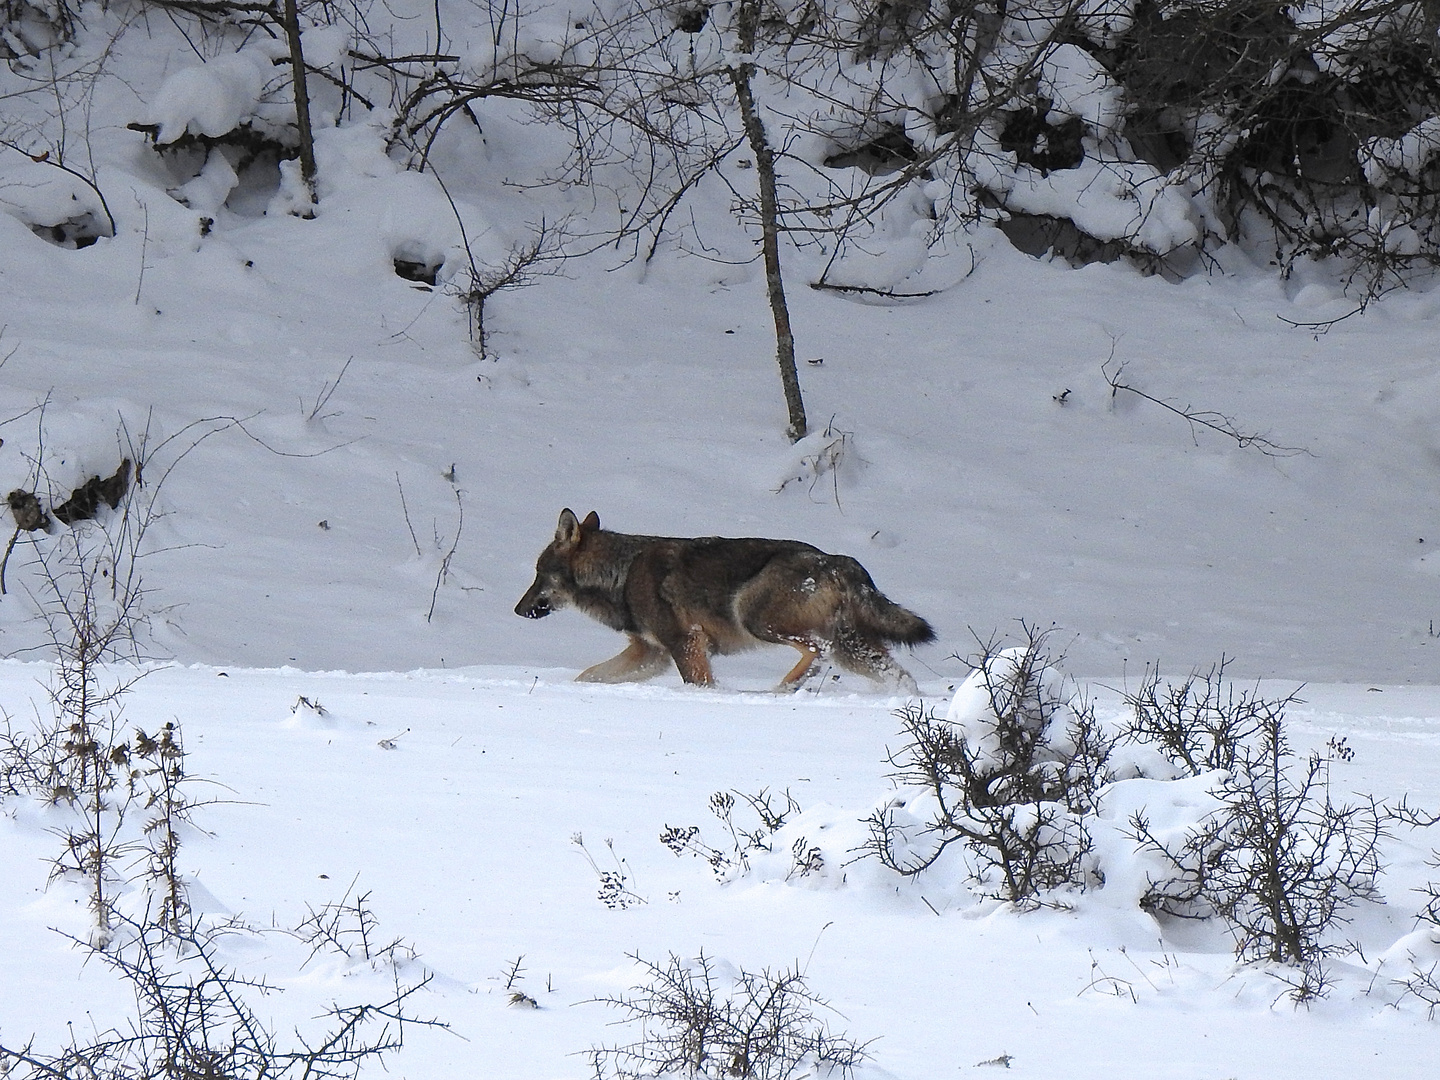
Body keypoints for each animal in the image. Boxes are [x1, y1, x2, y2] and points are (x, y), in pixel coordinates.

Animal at [515, 512, 933, 696]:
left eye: (538, 574)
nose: (518, 610)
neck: (622, 573)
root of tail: (839, 560)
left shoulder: (685, 644)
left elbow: (700, 685)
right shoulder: (650, 654)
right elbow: (587, 676)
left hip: (755, 618)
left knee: (816, 650)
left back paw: (781, 689)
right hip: (854, 650)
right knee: (899, 676)